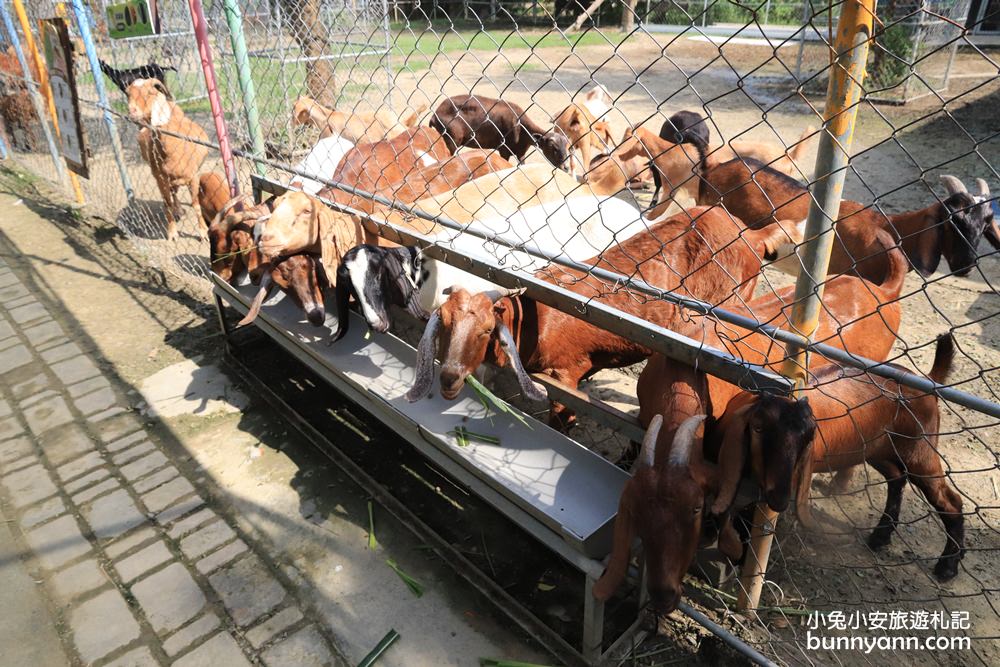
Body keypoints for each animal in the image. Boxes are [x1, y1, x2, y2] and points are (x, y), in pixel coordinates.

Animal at [128, 79, 210, 240]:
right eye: (128, 93)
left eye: (150, 92)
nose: (132, 112)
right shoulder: (161, 179)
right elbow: (167, 205)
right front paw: (172, 233)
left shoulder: (194, 177)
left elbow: (196, 204)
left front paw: (204, 233)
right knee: (173, 195)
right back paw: (178, 211)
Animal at [430, 95, 572, 171]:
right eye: (553, 147)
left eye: (567, 147)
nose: (566, 167)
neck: (521, 127)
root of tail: (435, 115)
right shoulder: (504, 150)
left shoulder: (521, 153)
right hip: (451, 139)